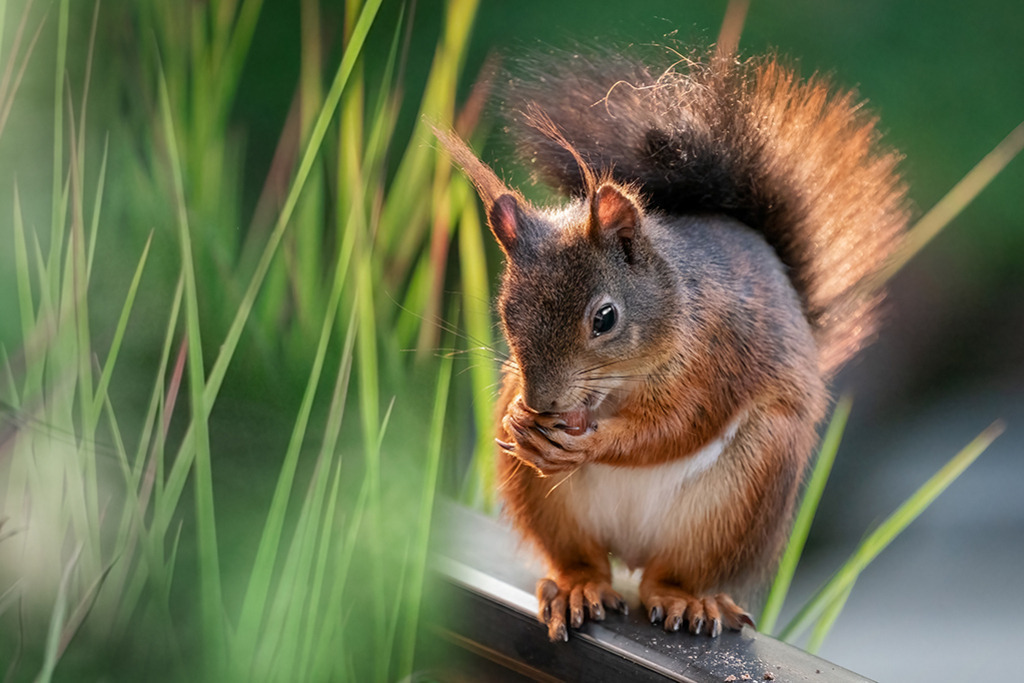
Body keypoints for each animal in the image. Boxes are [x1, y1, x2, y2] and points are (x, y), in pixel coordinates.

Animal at [436, 46, 908, 642]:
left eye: (605, 318)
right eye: (506, 312)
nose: (543, 402)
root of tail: (631, 554)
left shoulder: (719, 357)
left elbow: (679, 426)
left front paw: (597, 441)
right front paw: (519, 419)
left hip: (742, 492)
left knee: (673, 575)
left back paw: (685, 600)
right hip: (546, 504)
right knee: (582, 560)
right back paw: (578, 587)